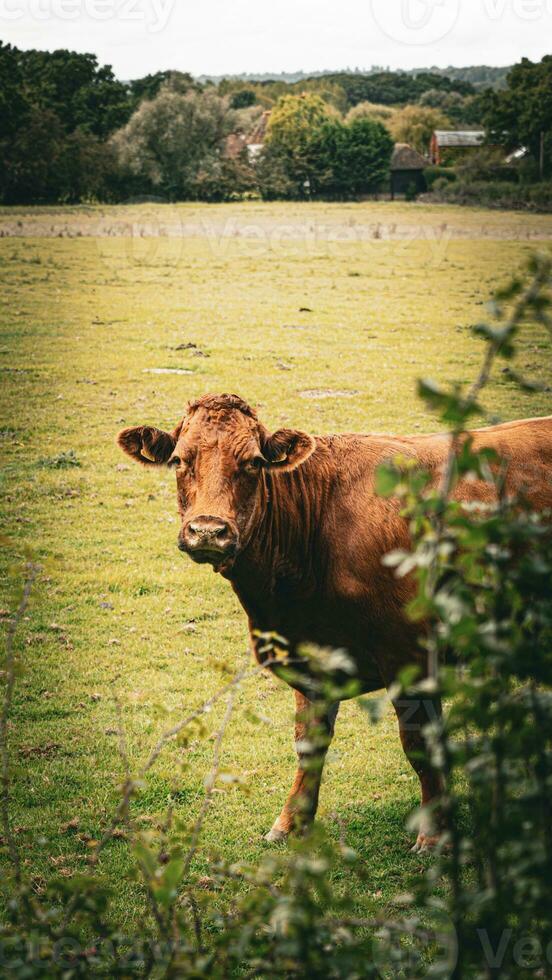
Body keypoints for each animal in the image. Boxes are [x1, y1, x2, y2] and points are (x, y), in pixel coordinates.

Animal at [117, 392, 552, 848]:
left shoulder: (411, 656)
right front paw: (290, 823)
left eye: (253, 462)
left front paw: (435, 835)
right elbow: (308, 745)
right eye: (179, 460)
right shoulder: (311, 661)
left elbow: (420, 746)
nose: (207, 531)